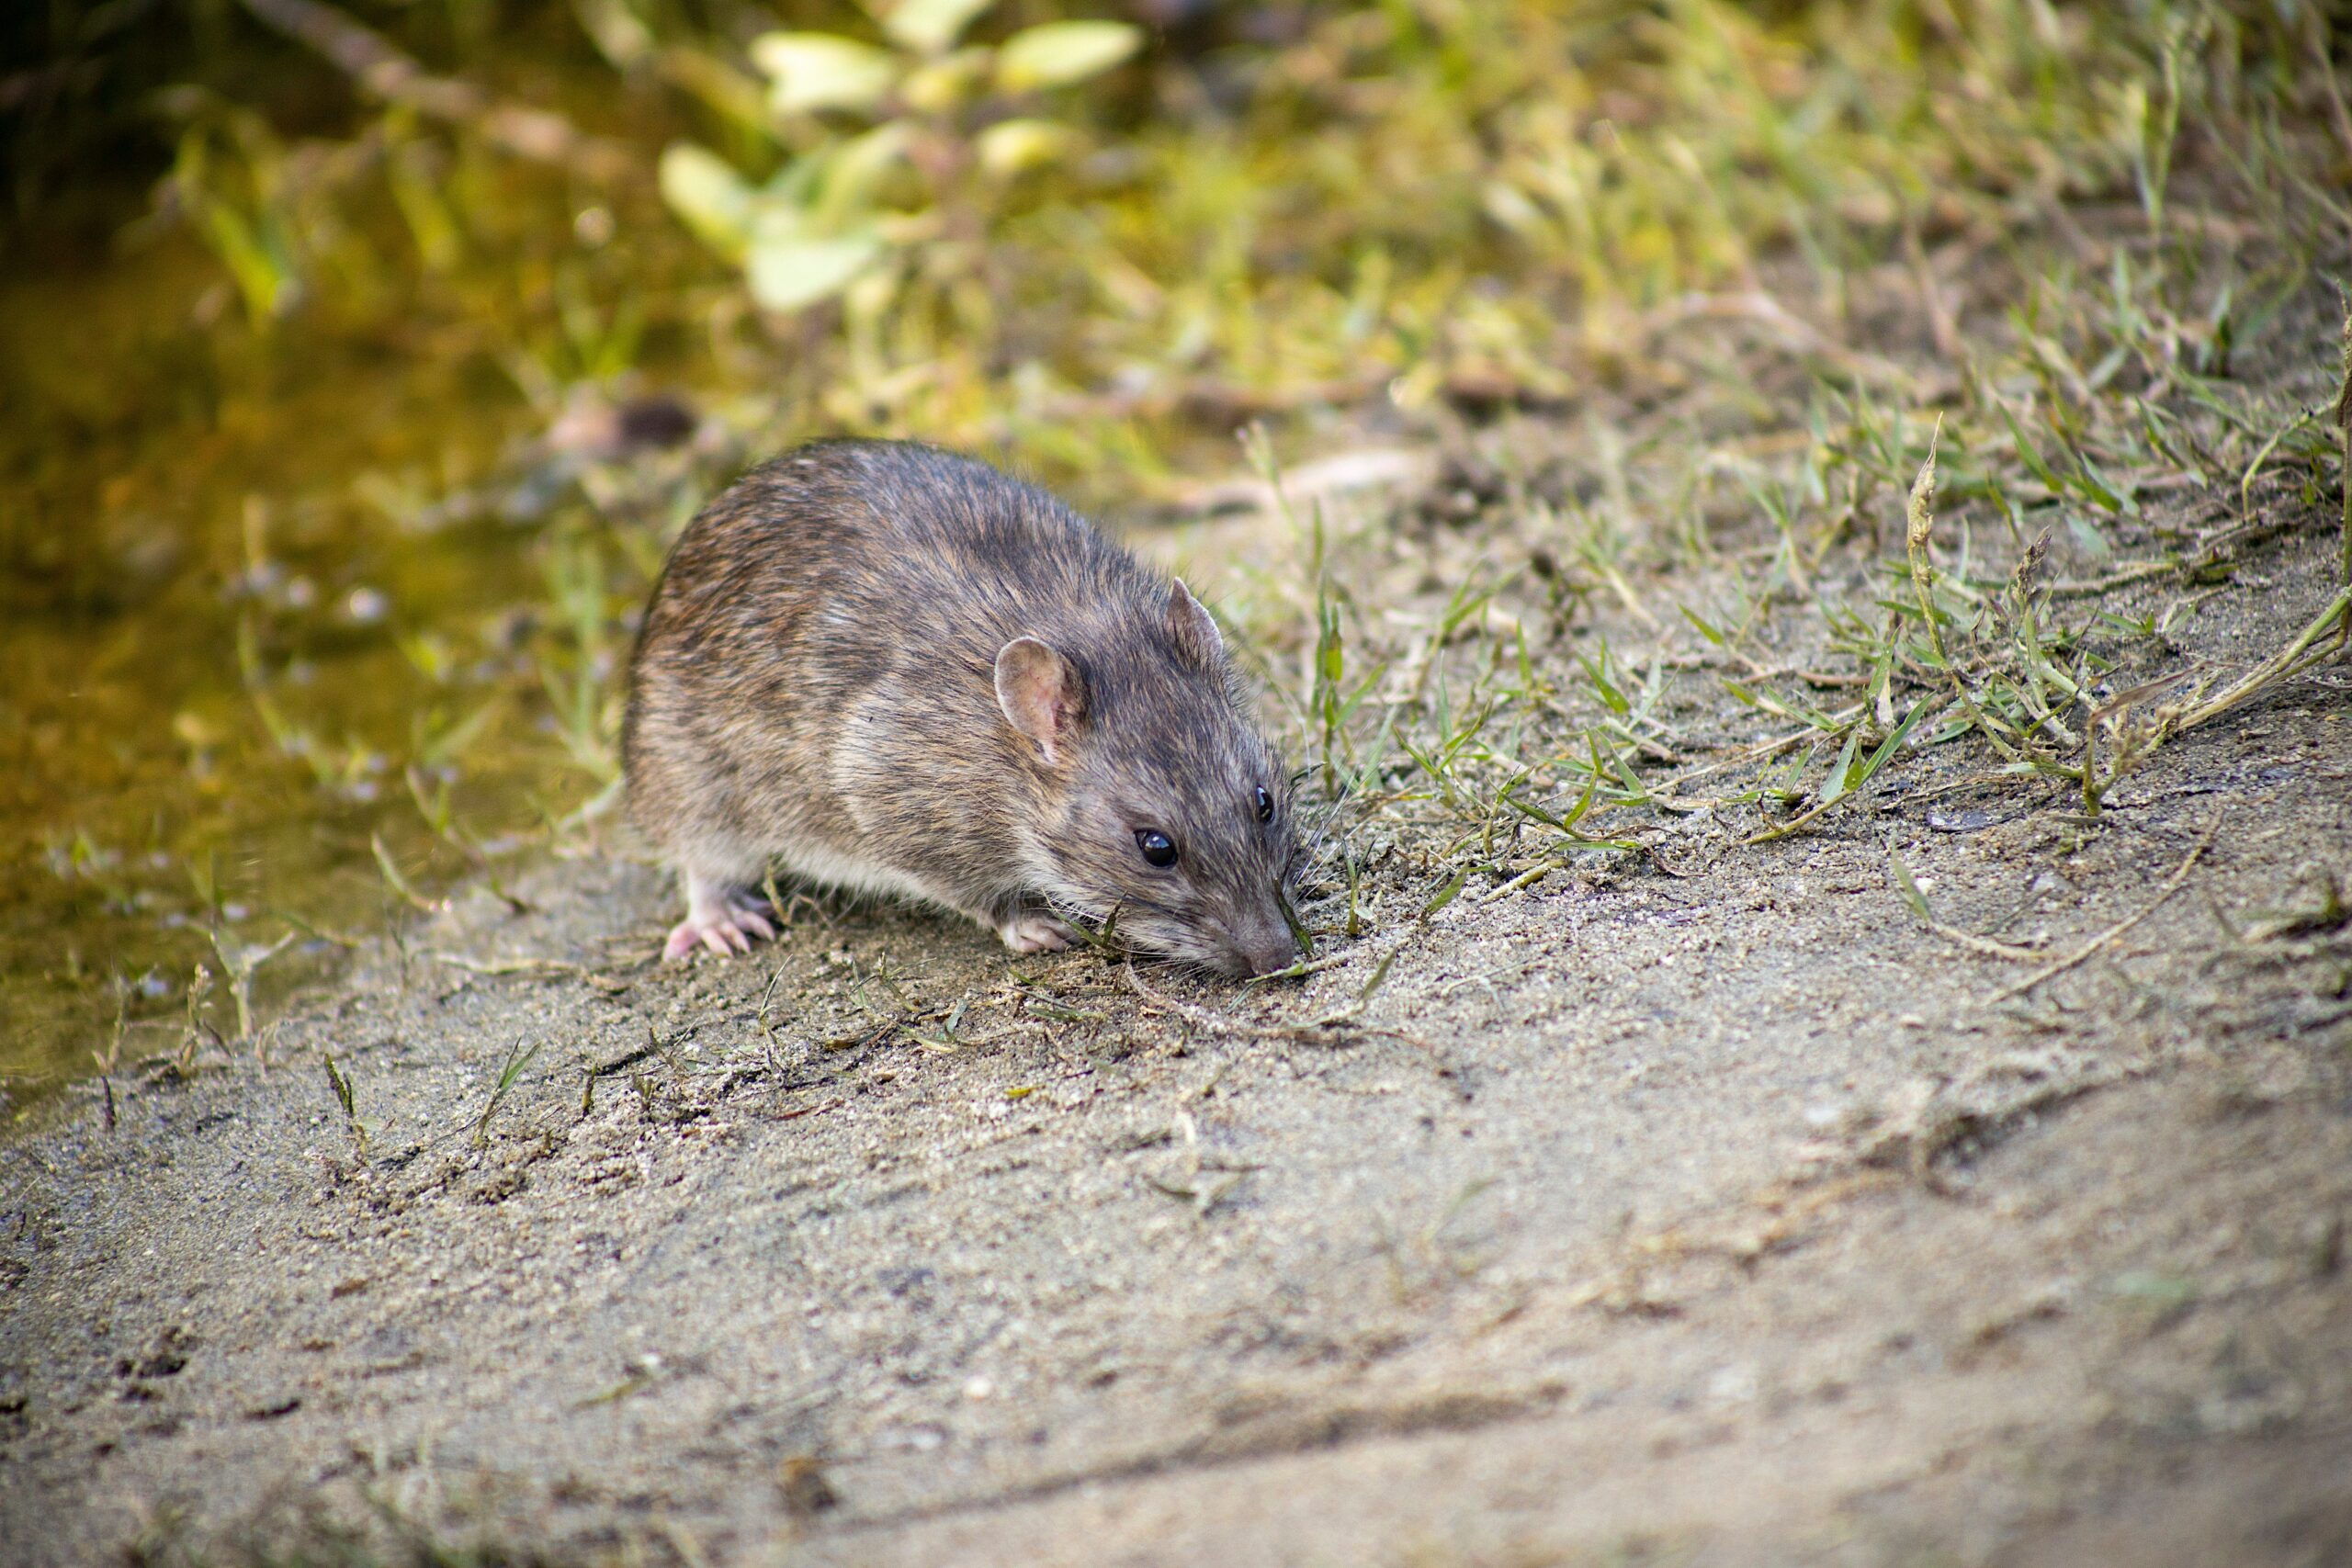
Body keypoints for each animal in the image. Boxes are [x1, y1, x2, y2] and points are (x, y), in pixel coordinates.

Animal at [622, 440, 1301, 978]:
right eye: (1155, 847)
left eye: (1264, 802)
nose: (1281, 960)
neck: (1007, 752)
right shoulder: (896, 808)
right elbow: (979, 895)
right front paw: (1034, 925)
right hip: (693, 780)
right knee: (700, 862)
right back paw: (720, 919)